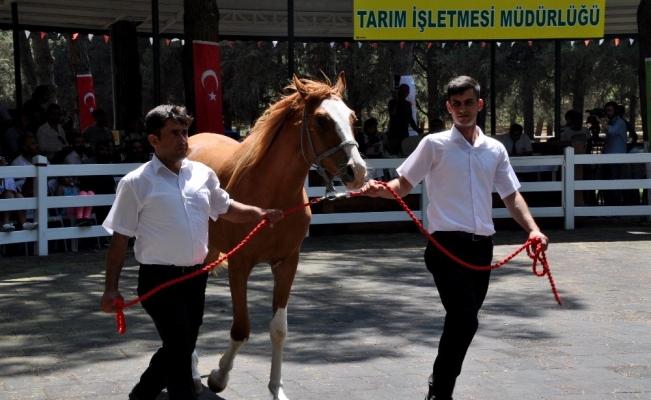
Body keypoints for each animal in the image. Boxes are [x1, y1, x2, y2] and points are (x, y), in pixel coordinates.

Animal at [186, 72, 367, 400]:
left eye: (352, 117)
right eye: (321, 120)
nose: (356, 171)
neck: (272, 196)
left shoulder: (287, 264)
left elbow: (279, 330)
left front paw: (276, 389)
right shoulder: (240, 264)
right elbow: (241, 329)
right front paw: (219, 377)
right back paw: (193, 375)